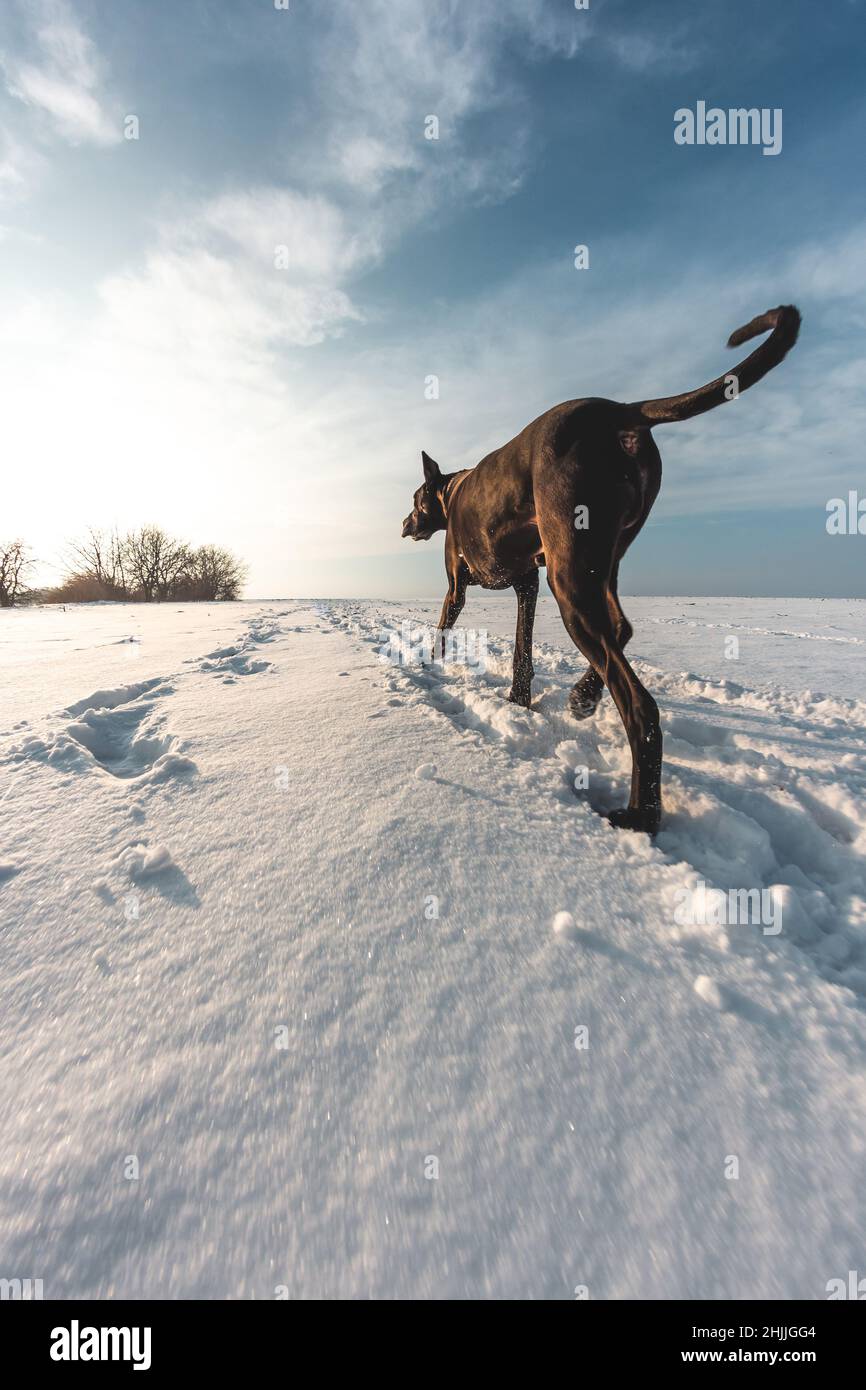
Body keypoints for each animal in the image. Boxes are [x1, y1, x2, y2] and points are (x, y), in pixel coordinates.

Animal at [403, 304, 800, 828]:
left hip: (570, 577)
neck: (451, 494)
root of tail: (620, 411)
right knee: (621, 629)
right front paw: (519, 701)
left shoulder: (459, 585)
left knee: (640, 706)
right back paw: (583, 697)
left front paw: (432, 664)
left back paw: (640, 814)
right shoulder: (528, 583)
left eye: (415, 500)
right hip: (596, 562)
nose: (403, 523)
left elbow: (443, 627)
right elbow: (522, 650)